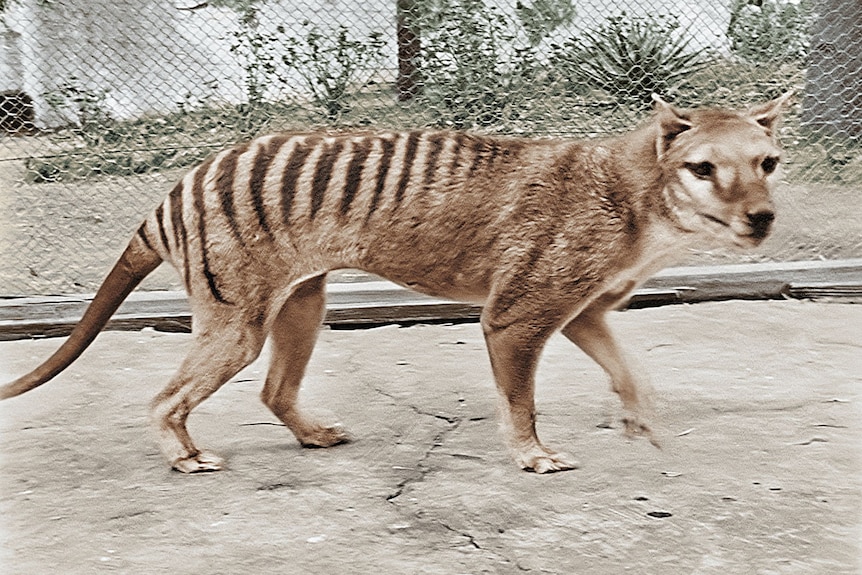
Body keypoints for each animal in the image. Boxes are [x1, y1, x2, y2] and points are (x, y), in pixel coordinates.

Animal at [1, 93, 796, 472]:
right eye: (702, 168)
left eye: (769, 162)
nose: (761, 219)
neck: (631, 190)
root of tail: (176, 189)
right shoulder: (518, 314)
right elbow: (521, 400)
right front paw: (532, 454)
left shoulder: (582, 309)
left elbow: (631, 369)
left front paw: (639, 418)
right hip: (239, 321)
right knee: (168, 398)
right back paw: (184, 455)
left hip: (302, 302)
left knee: (273, 390)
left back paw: (311, 432)